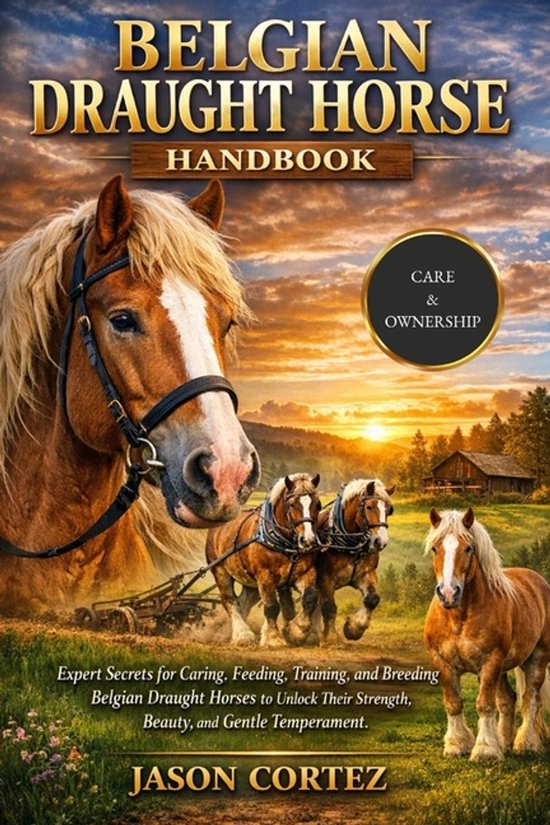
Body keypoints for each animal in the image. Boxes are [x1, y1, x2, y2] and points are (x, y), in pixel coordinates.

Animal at [205, 473, 321, 647]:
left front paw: (296, 632)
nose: (307, 540)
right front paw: (273, 638)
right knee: (229, 601)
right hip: (220, 570)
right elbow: (272, 606)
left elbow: (310, 598)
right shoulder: (265, 576)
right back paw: (242, 634)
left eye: (318, 505)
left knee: (243, 602)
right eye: (292, 505)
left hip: (251, 582)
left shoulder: (305, 573)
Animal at [315, 479, 395, 644]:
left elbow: (372, 599)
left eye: (390, 510)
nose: (381, 541)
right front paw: (331, 638)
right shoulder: (325, 579)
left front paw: (353, 628)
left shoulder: (366, 574)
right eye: (369, 507)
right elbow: (329, 607)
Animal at [424, 507, 550, 761]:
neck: (458, 617)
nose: (449, 593)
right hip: (503, 668)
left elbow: (485, 704)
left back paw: (526, 743)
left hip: (537, 657)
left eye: (468, 548)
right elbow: (453, 703)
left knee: (530, 699)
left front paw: (485, 750)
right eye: (435, 548)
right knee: (508, 699)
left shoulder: (490, 661)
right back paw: (504, 741)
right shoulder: (442, 662)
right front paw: (457, 745)